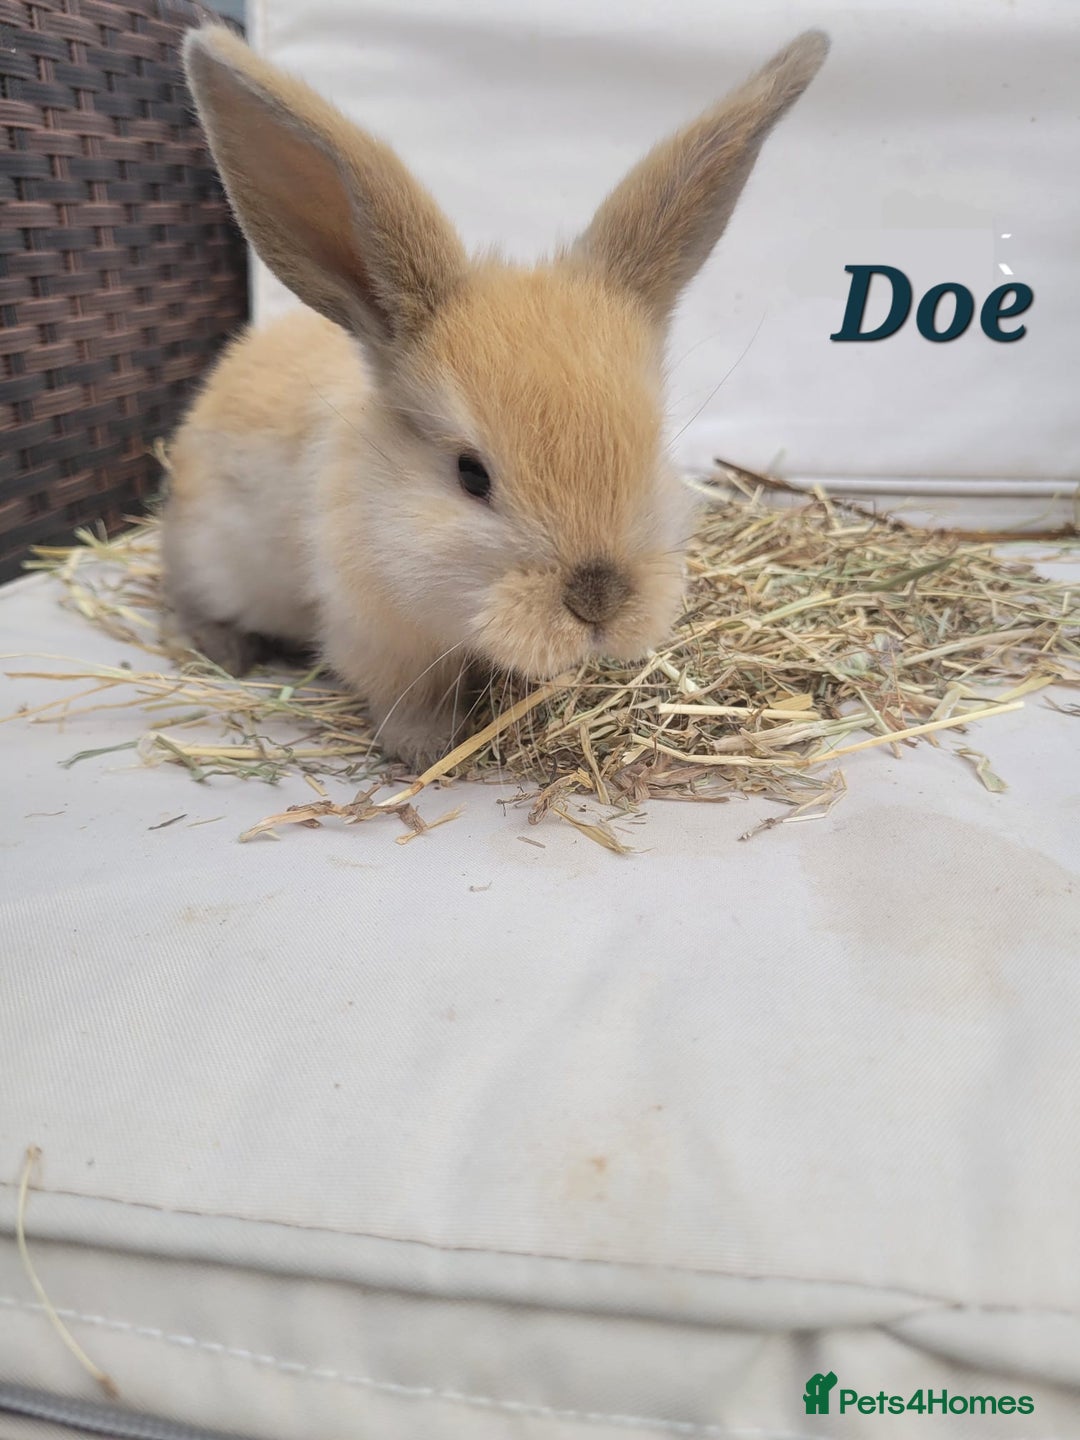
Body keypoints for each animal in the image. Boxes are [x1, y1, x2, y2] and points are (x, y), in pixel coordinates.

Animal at [162, 24, 828, 766]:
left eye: (652, 446)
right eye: (471, 475)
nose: (599, 600)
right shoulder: (377, 638)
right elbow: (404, 700)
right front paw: (426, 748)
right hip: (210, 555)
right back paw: (223, 648)